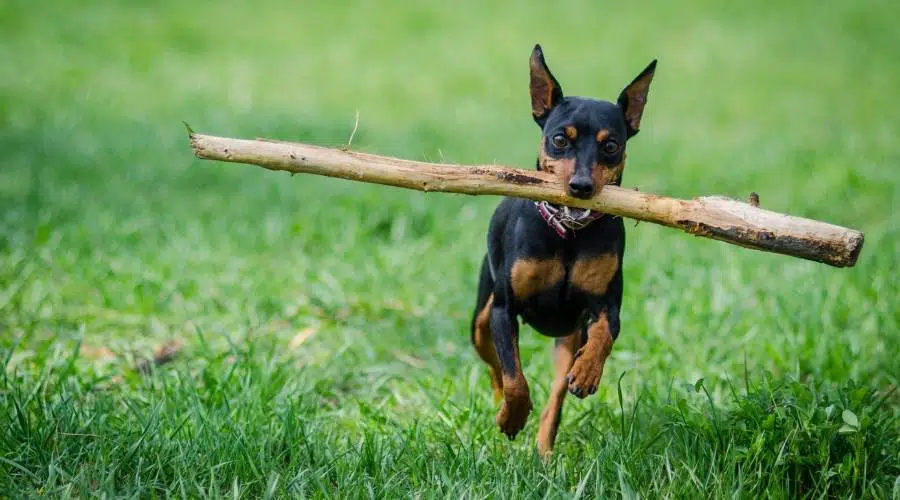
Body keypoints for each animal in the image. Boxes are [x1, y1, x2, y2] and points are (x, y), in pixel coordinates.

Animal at [472, 47, 652, 458]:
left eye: (611, 146)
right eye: (559, 139)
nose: (581, 186)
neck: (568, 237)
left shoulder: (606, 305)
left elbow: (605, 332)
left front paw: (587, 372)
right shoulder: (504, 310)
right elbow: (515, 378)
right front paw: (511, 417)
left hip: (566, 340)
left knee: (554, 398)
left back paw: (544, 450)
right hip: (482, 316)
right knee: (495, 365)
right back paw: (501, 406)